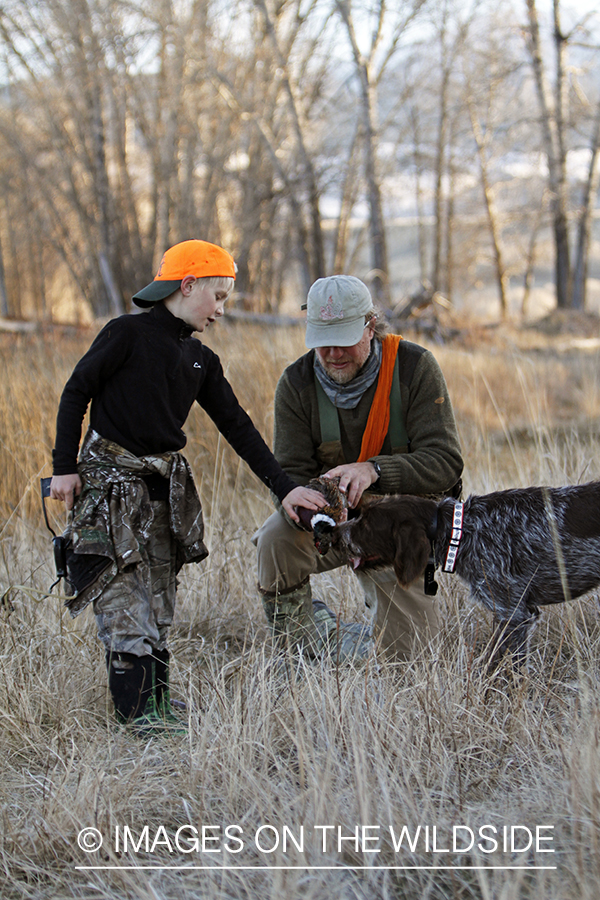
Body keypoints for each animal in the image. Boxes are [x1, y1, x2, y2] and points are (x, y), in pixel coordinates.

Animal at [330, 482, 600, 664]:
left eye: (366, 524)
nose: (334, 534)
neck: (460, 530)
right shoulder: (523, 612)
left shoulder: (512, 614)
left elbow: (499, 665)